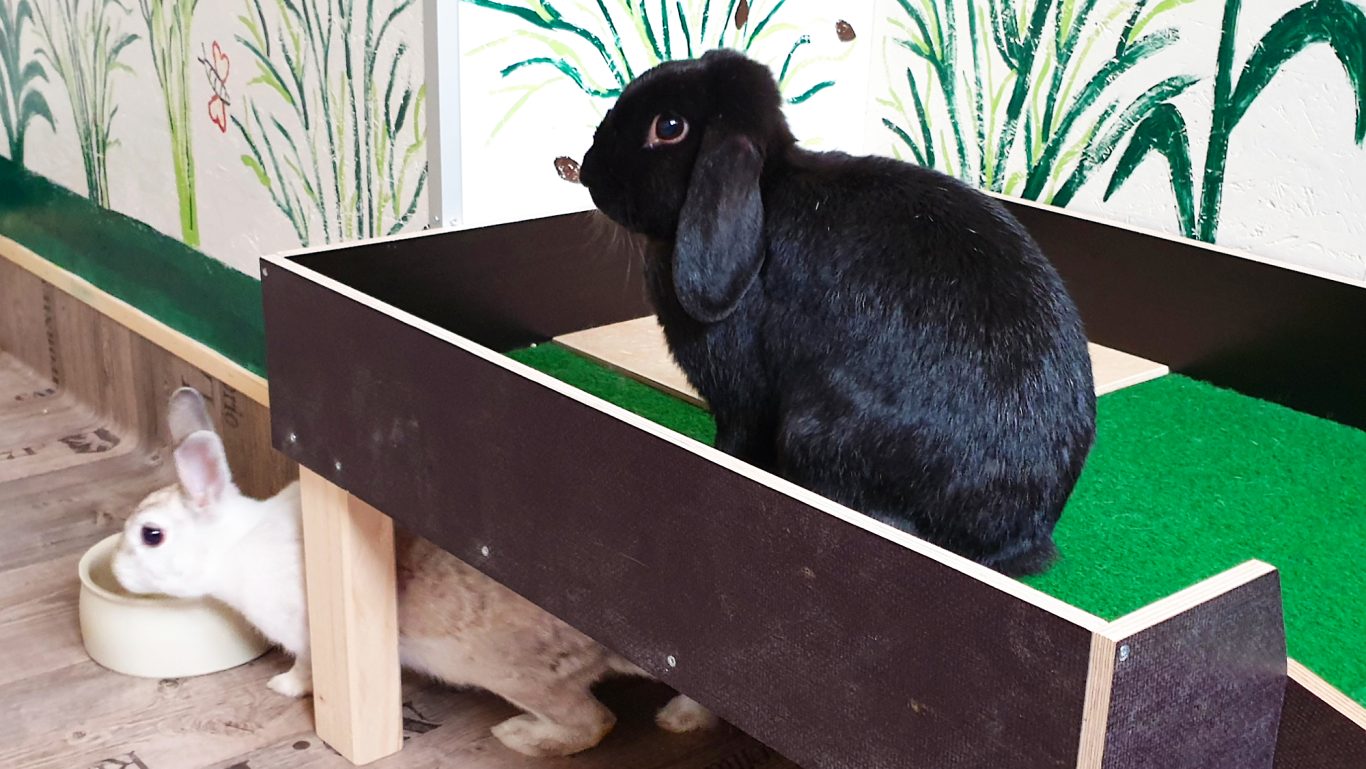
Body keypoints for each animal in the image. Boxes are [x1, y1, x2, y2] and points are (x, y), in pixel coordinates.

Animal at [111, 388, 716, 757]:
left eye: (152, 535)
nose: (117, 572)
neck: (232, 546)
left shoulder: (309, 637)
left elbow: (306, 670)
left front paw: (281, 686)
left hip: (514, 673)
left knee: (594, 722)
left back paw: (516, 734)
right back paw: (677, 720)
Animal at [578, 50, 1096, 576]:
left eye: (669, 127)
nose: (587, 171)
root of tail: (1017, 537)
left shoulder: (741, 397)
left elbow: (736, 440)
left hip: (815, 431)